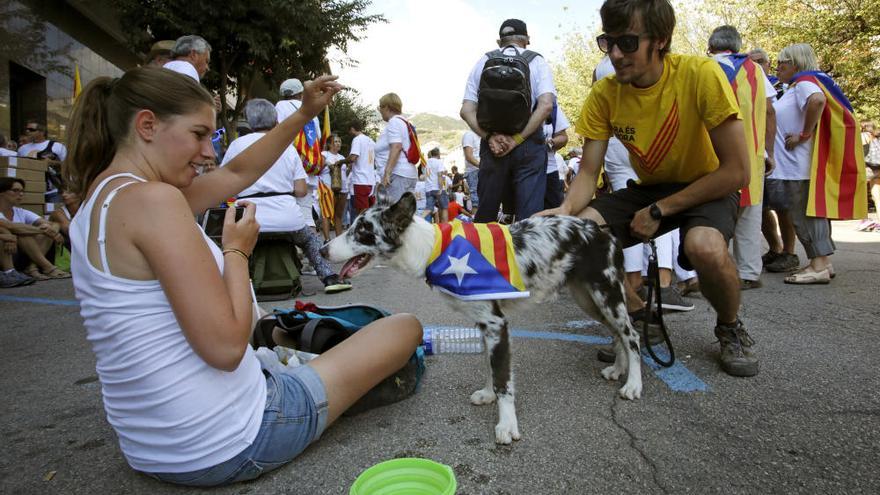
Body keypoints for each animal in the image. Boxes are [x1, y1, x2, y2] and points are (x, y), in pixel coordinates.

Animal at [320, 194, 644, 446]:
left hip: (606, 296)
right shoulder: (484, 325)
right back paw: (619, 369)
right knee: (618, 335)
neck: (434, 248)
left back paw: (633, 384)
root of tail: (600, 230)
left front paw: (507, 424)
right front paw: (488, 394)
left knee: (632, 336)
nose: (322, 250)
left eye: (362, 230)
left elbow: (503, 380)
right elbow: (488, 367)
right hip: (589, 300)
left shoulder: (497, 325)